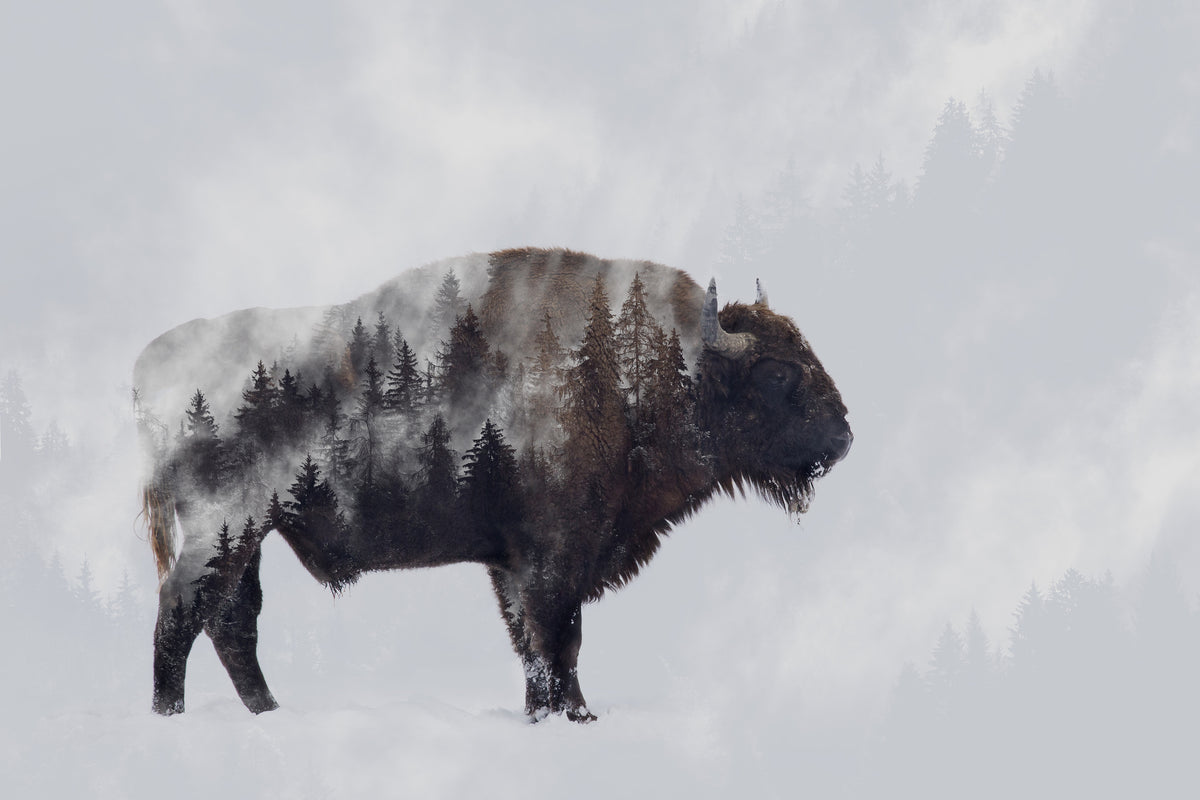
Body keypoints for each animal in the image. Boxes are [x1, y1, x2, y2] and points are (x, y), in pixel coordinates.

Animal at [135, 247, 851, 721]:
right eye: (777, 372)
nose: (844, 437)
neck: (648, 365)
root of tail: (151, 361)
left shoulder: (514, 562)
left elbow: (537, 643)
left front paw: (557, 714)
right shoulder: (552, 557)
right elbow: (557, 640)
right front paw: (571, 716)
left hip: (249, 536)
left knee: (232, 621)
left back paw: (269, 711)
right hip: (224, 529)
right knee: (182, 614)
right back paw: (172, 715)